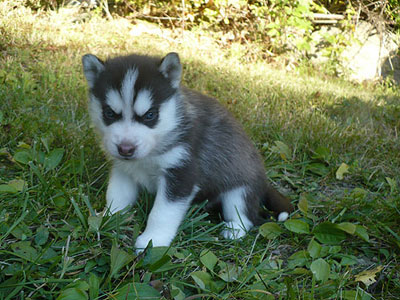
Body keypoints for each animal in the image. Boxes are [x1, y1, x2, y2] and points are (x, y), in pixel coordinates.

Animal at [82, 52, 294, 251]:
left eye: (150, 115)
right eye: (109, 113)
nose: (125, 149)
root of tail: (263, 180)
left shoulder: (182, 172)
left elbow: (162, 213)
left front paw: (153, 240)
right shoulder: (123, 170)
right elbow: (117, 195)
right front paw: (108, 218)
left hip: (239, 188)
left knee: (245, 215)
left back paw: (234, 230)